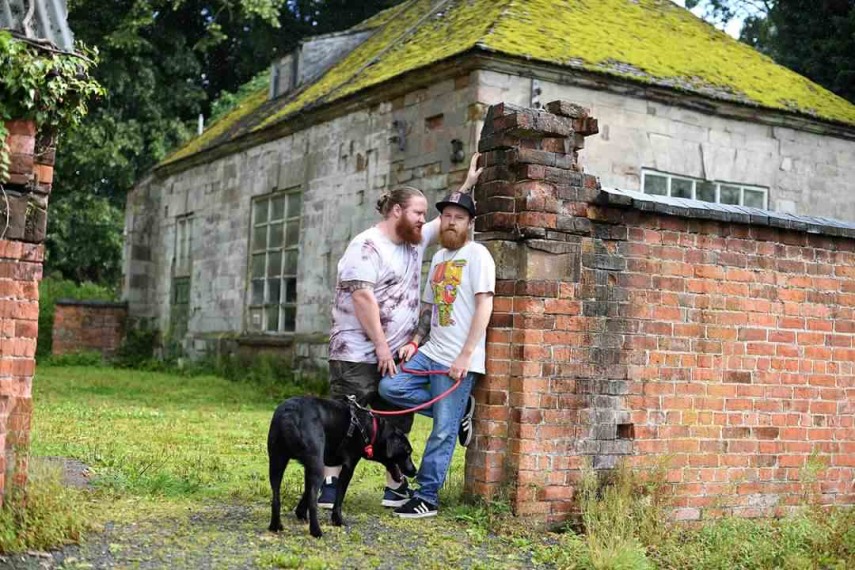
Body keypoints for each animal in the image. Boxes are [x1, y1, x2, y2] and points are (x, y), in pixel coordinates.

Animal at [266, 394, 416, 536]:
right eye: (408, 452)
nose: (414, 471)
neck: (371, 429)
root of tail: (290, 414)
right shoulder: (348, 466)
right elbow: (338, 497)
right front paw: (337, 520)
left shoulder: (310, 467)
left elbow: (306, 492)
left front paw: (301, 513)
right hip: (316, 465)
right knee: (313, 501)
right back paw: (316, 531)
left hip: (277, 462)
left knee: (276, 498)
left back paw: (275, 526)